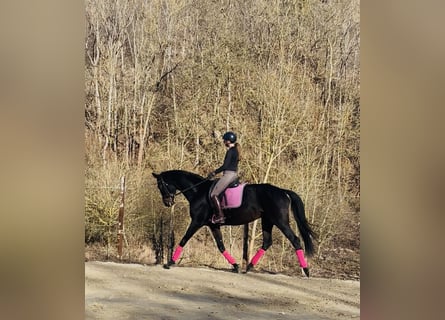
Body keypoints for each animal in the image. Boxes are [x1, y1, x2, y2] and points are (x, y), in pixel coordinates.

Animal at [152, 169, 316, 276]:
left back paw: (306, 270)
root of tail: (283, 191)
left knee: (295, 240)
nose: (167, 203)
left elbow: (184, 239)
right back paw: (247, 267)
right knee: (267, 242)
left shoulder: (197, 222)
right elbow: (221, 246)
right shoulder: (213, 225)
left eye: (161, 185)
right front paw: (236, 265)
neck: (197, 191)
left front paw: (169, 263)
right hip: (267, 221)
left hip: (280, 221)